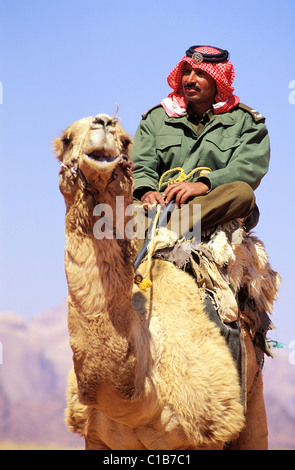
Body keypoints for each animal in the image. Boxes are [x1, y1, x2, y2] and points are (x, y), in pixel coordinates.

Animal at [55, 112, 282, 450]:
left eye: (126, 142)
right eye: (67, 139)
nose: (104, 122)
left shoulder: (207, 432)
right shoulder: (95, 437)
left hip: (253, 397)